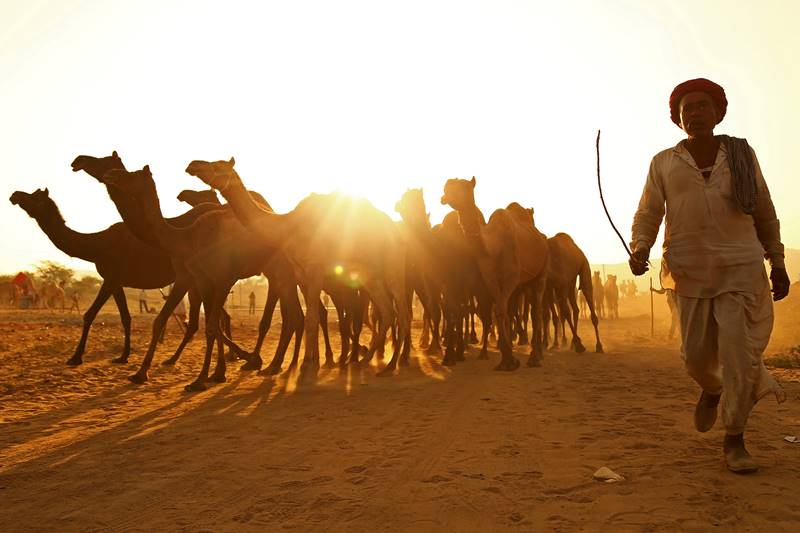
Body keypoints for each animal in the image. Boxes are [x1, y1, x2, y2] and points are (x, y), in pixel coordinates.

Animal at [9, 188, 175, 365]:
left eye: (36, 197)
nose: (15, 195)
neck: (98, 245)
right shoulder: (116, 282)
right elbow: (125, 317)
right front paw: (123, 356)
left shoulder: (111, 278)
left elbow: (89, 314)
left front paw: (75, 357)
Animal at [185, 157, 411, 377]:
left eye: (217, 166)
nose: (192, 165)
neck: (287, 226)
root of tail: (396, 231)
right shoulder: (301, 273)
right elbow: (311, 315)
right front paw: (309, 362)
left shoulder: (315, 267)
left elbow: (311, 317)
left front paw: (307, 366)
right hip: (369, 275)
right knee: (387, 311)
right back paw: (365, 361)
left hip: (394, 265)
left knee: (401, 311)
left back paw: (391, 363)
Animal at [441, 178, 549, 370]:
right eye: (448, 187)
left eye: (464, 187)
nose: (444, 195)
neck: (493, 245)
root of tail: (542, 237)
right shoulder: (489, 277)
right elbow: (499, 310)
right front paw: (507, 359)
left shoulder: (511, 277)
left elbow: (499, 310)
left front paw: (510, 359)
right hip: (524, 283)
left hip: (541, 273)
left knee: (536, 311)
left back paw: (535, 357)